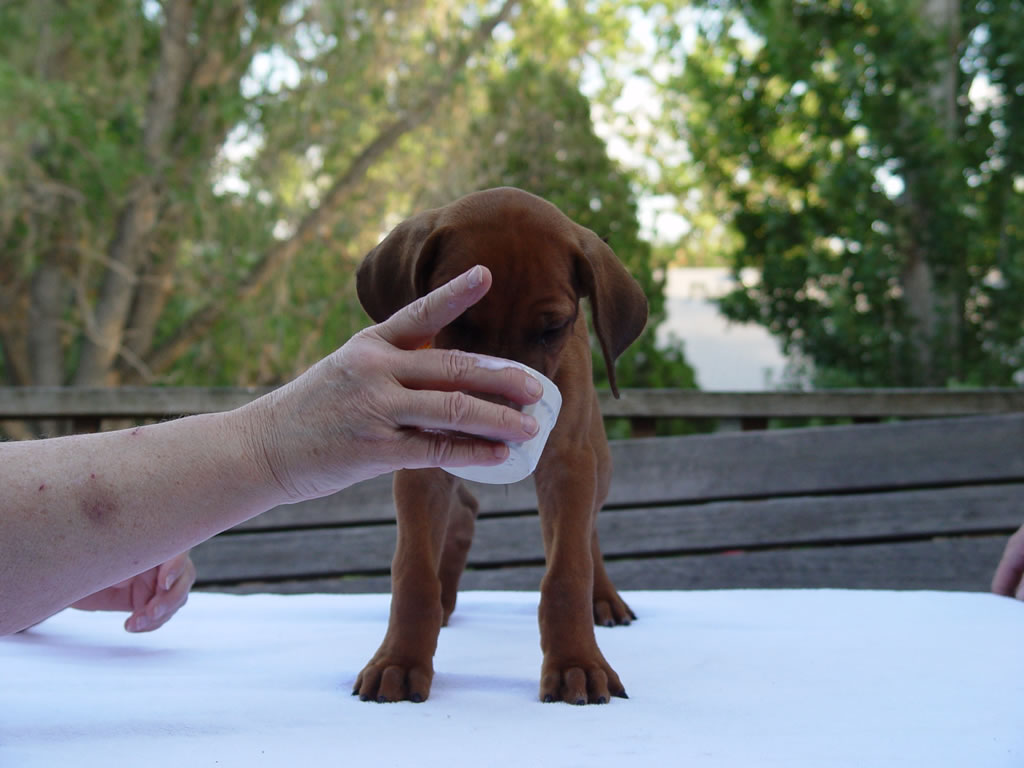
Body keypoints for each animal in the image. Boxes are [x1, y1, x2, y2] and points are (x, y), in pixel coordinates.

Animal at [353, 187, 648, 704]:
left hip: (599, 461)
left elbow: (567, 570)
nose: (494, 432)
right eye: (455, 318)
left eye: (553, 328)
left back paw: (604, 598)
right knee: (463, 512)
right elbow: (412, 573)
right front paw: (399, 661)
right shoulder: (420, 465)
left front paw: (577, 663)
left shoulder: (569, 465)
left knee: (587, 531)